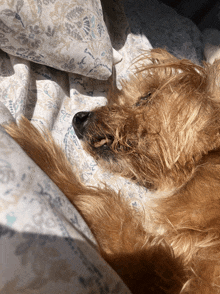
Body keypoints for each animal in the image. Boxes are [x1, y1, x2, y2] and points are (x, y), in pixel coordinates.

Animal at [4, 49, 220, 292]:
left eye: (146, 96)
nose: (78, 117)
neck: (198, 167)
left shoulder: (172, 273)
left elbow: (101, 204)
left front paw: (34, 147)